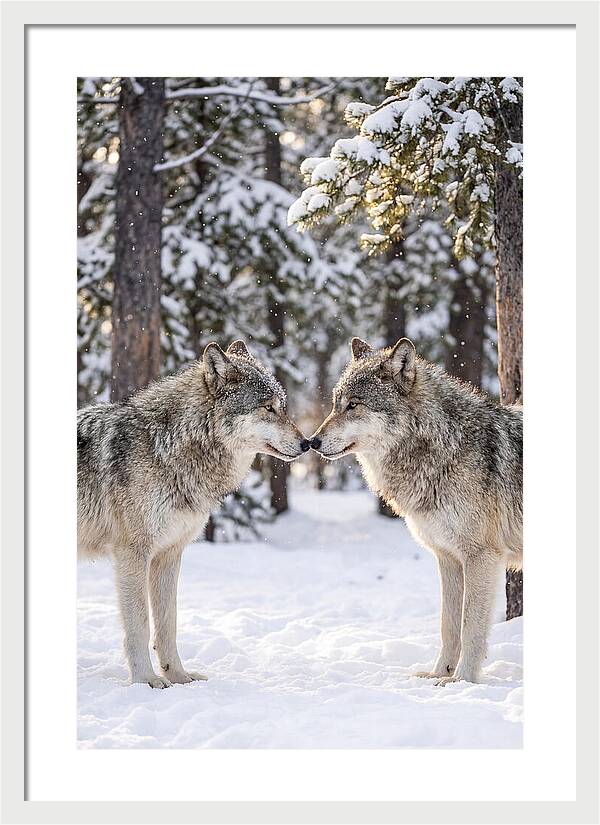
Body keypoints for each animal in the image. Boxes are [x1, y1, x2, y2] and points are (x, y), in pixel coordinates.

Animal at [78, 340, 309, 688]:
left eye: (282, 407)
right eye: (268, 408)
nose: (308, 443)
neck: (166, 448)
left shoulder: (169, 554)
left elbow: (168, 623)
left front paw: (178, 676)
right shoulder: (132, 553)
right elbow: (140, 623)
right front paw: (146, 680)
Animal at [310, 337, 522, 684]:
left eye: (354, 405)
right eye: (335, 404)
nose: (311, 442)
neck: (445, 447)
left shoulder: (482, 557)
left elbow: (470, 627)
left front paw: (461, 681)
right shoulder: (448, 558)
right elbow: (448, 625)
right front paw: (439, 673)